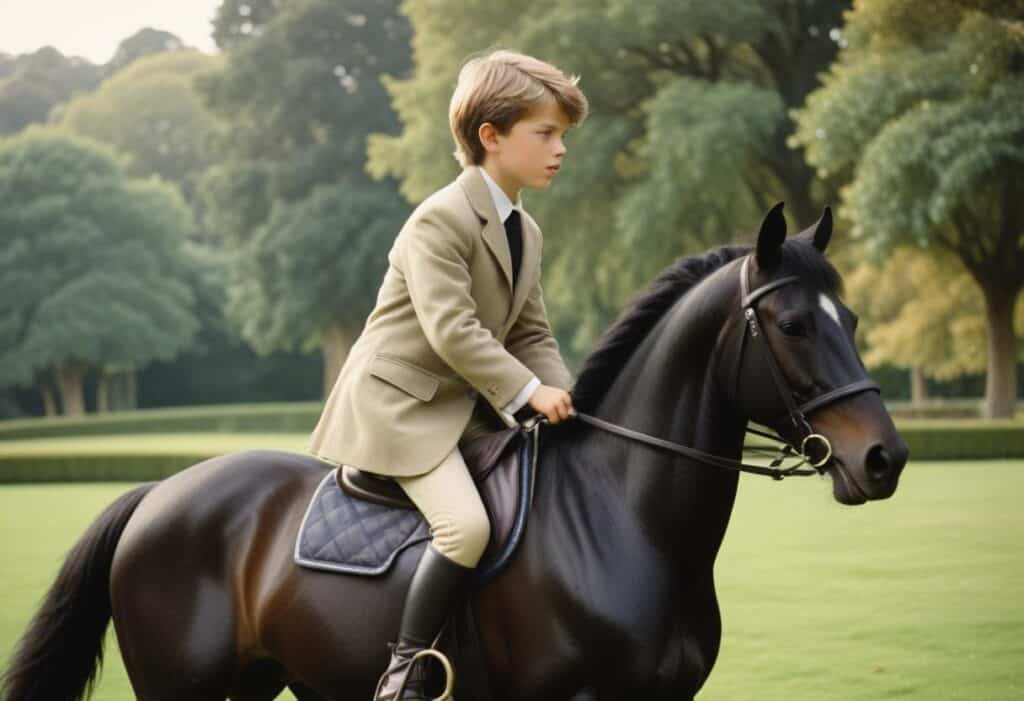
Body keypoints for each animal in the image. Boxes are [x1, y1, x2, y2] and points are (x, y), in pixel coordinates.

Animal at [4, 199, 909, 695]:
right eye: (792, 325)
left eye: (853, 318)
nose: (885, 459)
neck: (626, 520)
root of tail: (155, 493)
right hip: (179, 685)